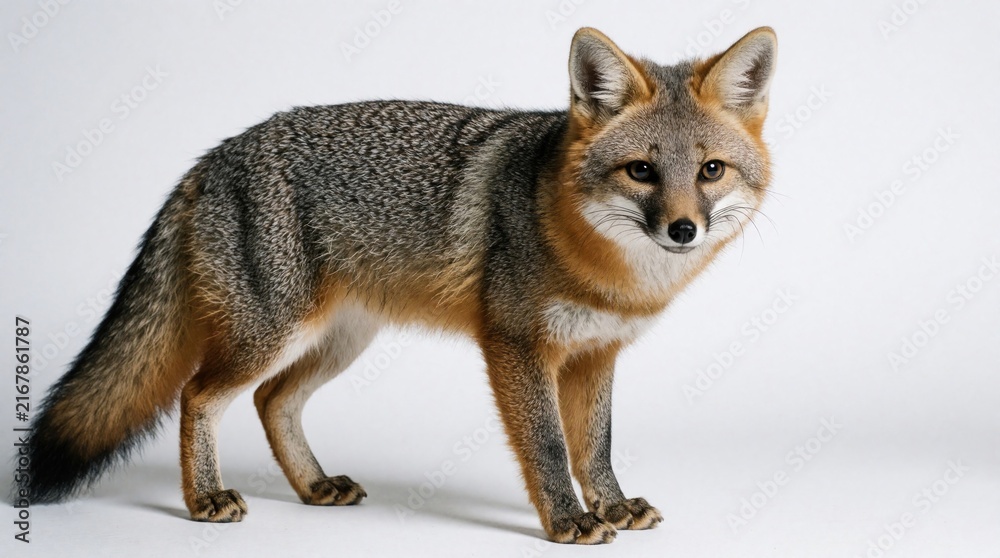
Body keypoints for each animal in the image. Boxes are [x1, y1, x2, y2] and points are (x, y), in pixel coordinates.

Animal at [19, 27, 777, 544]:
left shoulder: (596, 354)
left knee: (271, 400)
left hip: (337, 342)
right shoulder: (516, 346)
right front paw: (568, 520)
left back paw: (313, 485)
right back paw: (204, 497)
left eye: (710, 171)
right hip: (272, 332)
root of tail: (215, 155)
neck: (611, 273)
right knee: (199, 394)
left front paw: (612, 505)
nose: (683, 229)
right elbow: (549, 446)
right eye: (641, 171)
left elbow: (596, 447)